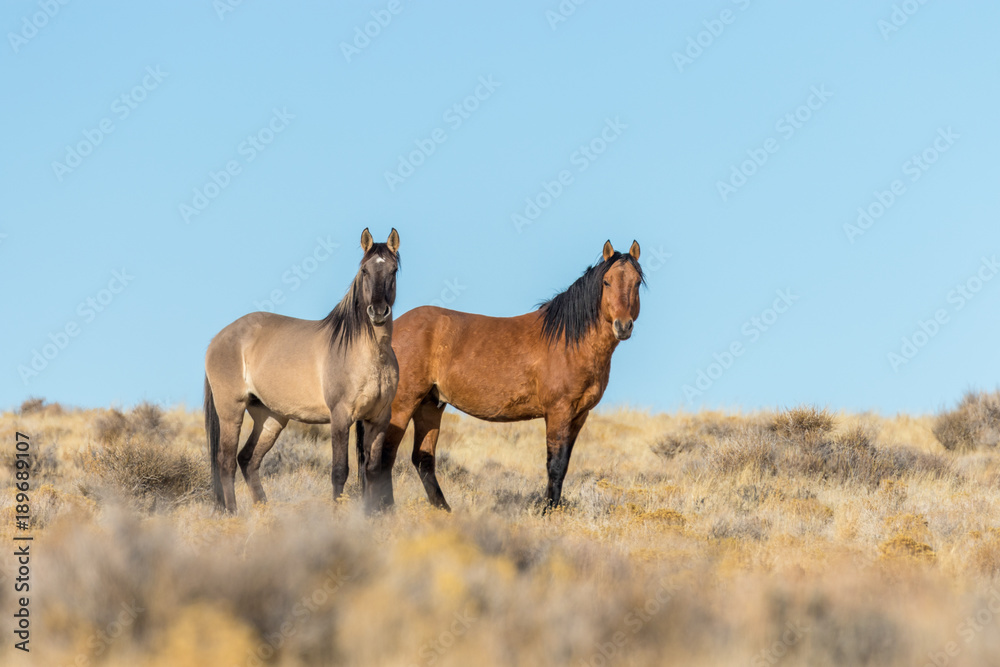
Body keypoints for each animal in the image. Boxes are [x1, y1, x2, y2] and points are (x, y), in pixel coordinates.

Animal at [203, 228, 400, 514]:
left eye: (393, 270)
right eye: (364, 270)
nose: (378, 311)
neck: (371, 354)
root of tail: (218, 338)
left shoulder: (378, 418)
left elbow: (372, 471)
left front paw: (370, 516)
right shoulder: (341, 417)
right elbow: (340, 471)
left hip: (271, 418)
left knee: (248, 459)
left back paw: (263, 511)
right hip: (232, 411)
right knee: (226, 461)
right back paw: (233, 514)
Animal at [373, 239, 644, 511]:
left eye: (637, 282)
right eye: (606, 282)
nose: (623, 326)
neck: (569, 342)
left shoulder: (579, 416)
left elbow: (564, 465)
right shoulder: (559, 412)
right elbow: (555, 465)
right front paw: (547, 512)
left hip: (430, 404)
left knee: (423, 459)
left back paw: (444, 510)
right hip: (403, 404)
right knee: (385, 455)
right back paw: (386, 509)